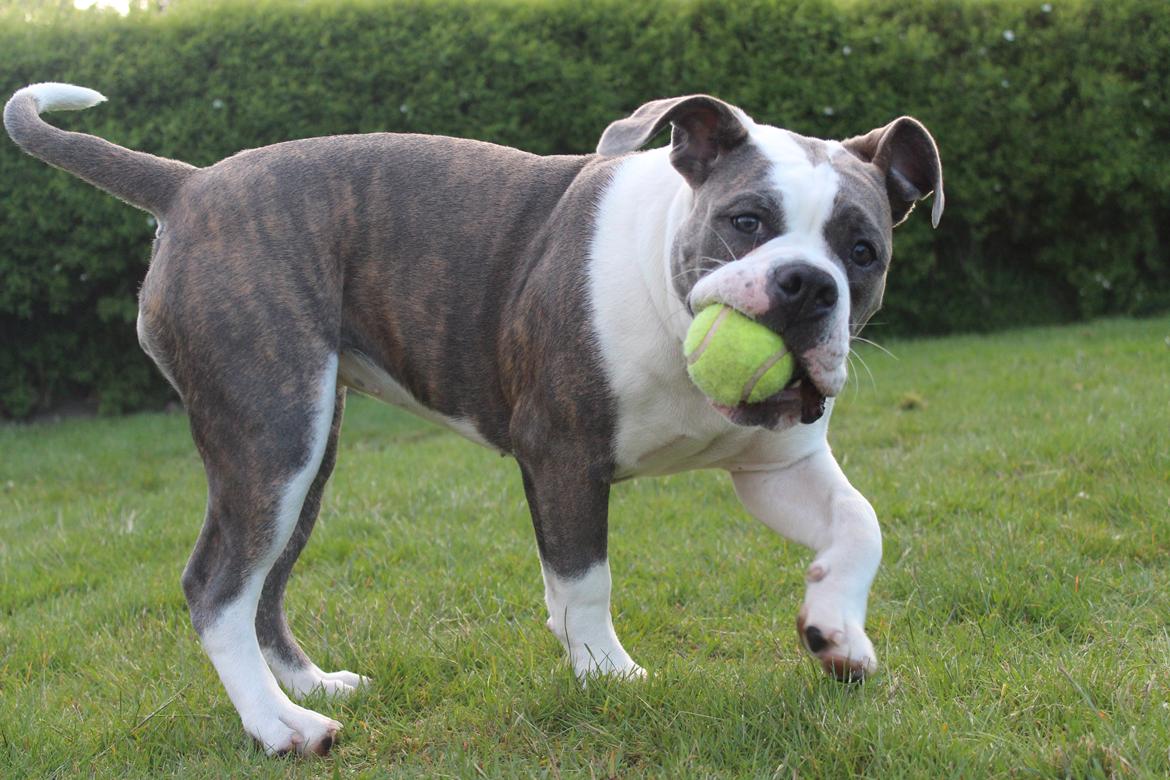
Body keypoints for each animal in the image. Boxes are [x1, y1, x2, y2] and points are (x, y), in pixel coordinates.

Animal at [4, 84, 940, 757]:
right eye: (747, 222)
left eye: (863, 252)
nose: (805, 287)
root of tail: (191, 184)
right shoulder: (563, 456)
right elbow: (585, 580)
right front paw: (608, 675)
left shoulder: (777, 467)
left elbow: (861, 522)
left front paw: (837, 633)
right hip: (272, 438)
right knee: (216, 586)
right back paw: (280, 729)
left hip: (303, 456)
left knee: (261, 587)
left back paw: (307, 690)